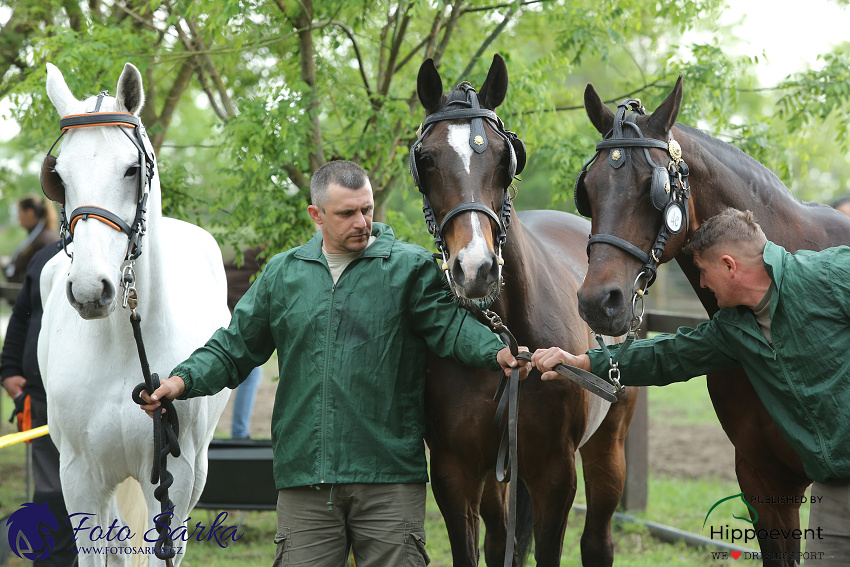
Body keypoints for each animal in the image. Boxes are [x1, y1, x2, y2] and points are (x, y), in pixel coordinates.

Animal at [38, 61, 230, 564]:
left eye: (131, 169)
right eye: (59, 176)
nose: (91, 289)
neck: (122, 347)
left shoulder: (174, 479)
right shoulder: (81, 478)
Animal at [410, 54, 636, 567]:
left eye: (503, 157)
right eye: (426, 159)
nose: (476, 268)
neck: (506, 339)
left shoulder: (555, 473)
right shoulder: (454, 472)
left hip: (608, 445)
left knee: (597, 540)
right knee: (500, 540)